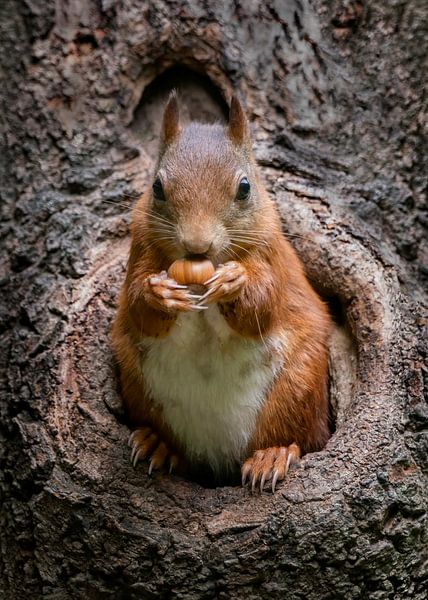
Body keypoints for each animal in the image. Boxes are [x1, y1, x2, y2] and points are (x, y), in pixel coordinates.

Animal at [111, 91, 332, 490]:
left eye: (245, 188)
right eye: (157, 188)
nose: (197, 245)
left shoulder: (270, 252)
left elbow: (263, 304)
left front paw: (234, 284)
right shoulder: (140, 247)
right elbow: (136, 305)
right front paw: (159, 294)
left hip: (298, 389)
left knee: (300, 438)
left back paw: (273, 455)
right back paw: (158, 445)